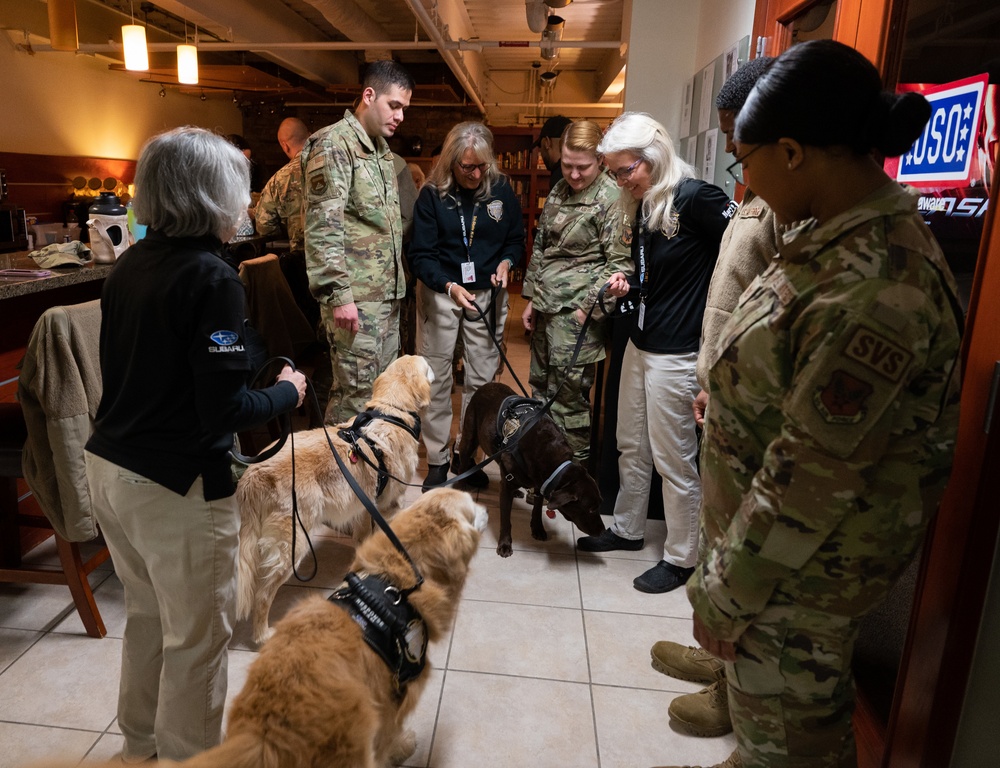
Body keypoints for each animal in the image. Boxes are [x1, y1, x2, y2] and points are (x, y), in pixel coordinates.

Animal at [28, 486, 488, 768]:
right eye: (469, 506)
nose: (484, 503)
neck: (394, 582)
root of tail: (268, 730)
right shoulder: (397, 697)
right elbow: (393, 735)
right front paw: (404, 746)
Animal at [239, 356, 438, 644]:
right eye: (426, 365)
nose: (435, 364)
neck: (391, 413)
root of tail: (252, 474)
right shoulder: (388, 506)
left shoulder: (364, 509)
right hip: (292, 544)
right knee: (262, 594)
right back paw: (262, 634)